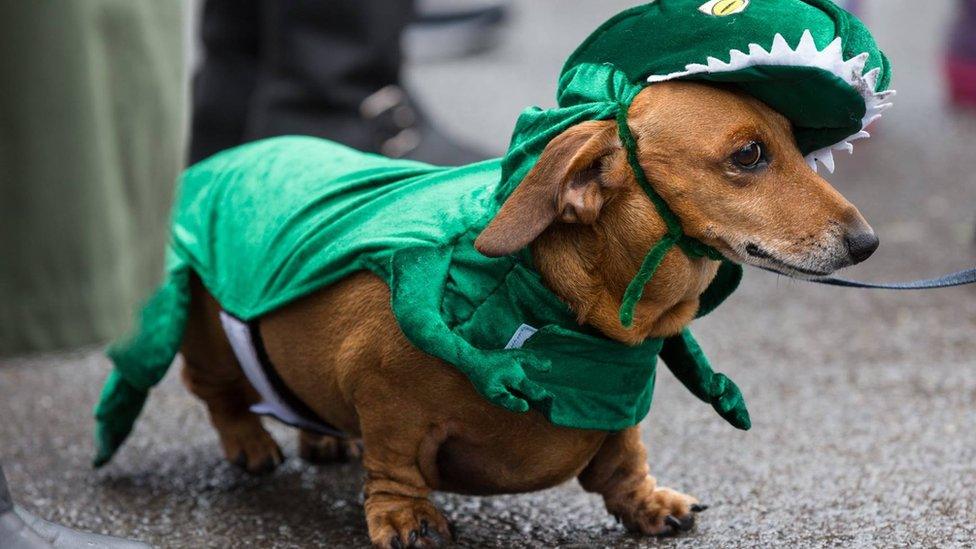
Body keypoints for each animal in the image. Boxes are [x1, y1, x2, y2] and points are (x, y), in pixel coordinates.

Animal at [179, 82, 880, 548]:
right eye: (748, 155)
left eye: (794, 144)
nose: (867, 243)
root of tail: (226, 158)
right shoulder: (385, 399)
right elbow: (394, 463)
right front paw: (405, 517)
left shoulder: (617, 411)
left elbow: (624, 457)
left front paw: (646, 503)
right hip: (206, 335)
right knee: (217, 394)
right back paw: (251, 441)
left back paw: (322, 434)